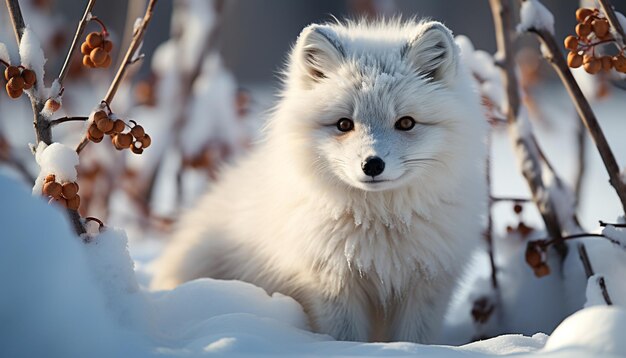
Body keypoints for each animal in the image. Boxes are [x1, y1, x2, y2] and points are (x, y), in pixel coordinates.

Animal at [154, 19, 486, 344]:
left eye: (405, 123)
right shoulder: (330, 282)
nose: (372, 164)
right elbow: (345, 339)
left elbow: (415, 339)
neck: (380, 224)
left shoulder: (428, 283)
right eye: (344, 124)